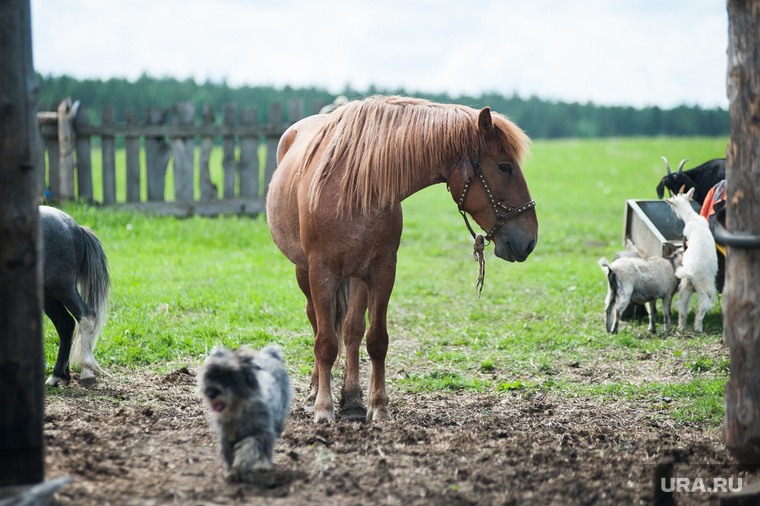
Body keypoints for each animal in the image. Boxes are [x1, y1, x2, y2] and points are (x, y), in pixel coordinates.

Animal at [196, 344, 290, 482]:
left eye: (230, 377)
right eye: (210, 375)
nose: (211, 393)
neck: (237, 410)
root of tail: (270, 354)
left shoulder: (260, 432)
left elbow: (248, 447)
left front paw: (241, 466)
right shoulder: (226, 436)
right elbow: (229, 454)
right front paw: (231, 472)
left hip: (275, 424)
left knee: (268, 448)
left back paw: (264, 464)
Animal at [268, 95, 540, 422]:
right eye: (505, 167)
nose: (529, 240)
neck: (355, 186)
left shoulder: (382, 270)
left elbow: (376, 340)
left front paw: (378, 406)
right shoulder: (322, 272)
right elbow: (325, 342)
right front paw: (323, 408)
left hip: (357, 276)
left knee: (351, 330)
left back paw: (352, 398)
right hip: (304, 271)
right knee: (318, 323)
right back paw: (315, 391)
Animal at [664, 186, 720, 332]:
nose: (677, 216)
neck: (692, 218)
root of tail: (691, 274)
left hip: (685, 285)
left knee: (682, 305)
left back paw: (681, 326)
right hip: (704, 286)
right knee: (702, 306)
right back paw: (698, 328)